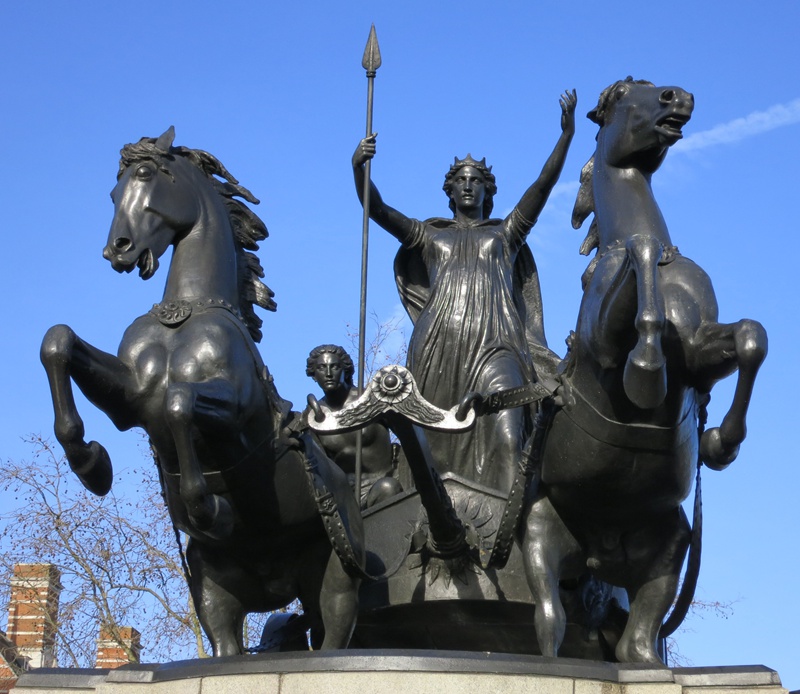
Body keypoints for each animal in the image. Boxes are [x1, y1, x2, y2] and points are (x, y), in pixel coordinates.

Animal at [40, 129, 360, 656]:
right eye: (112, 192)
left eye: (146, 175)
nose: (117, 250)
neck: (187, 312)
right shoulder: (132, 398)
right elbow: (59, 343)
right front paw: (91, 464)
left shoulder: (235, 411)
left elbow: (179, 404)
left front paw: (206, 508)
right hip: (215, 590)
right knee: (228, 643)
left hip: (334, 579)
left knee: (335, 636)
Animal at [520, 79, 764, 668]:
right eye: (629, 94)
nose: (680, 97)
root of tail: (599, 554)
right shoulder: (604, 345)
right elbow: (642, 257)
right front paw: (647, 370)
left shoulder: (698, 349)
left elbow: (751, 337)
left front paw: (721, 442)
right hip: (539, 533)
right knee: (550, 625)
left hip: (672, 545)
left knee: (637, 645)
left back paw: (648, 665)